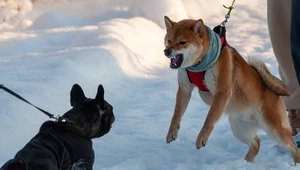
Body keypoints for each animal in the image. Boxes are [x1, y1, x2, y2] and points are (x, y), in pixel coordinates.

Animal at [164, 15, 300, 165]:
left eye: (182, 42)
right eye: (168, 40)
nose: (167, 51)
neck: (198, 65)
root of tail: (275, 93)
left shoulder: (221, 91)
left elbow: (209, 119)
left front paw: (202, 138)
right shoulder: (184, 89)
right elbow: (176, 114)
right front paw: (172, 132)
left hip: (274, 129)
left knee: (293, 146)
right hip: (239, 128)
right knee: (256, 143)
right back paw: (247, 163)